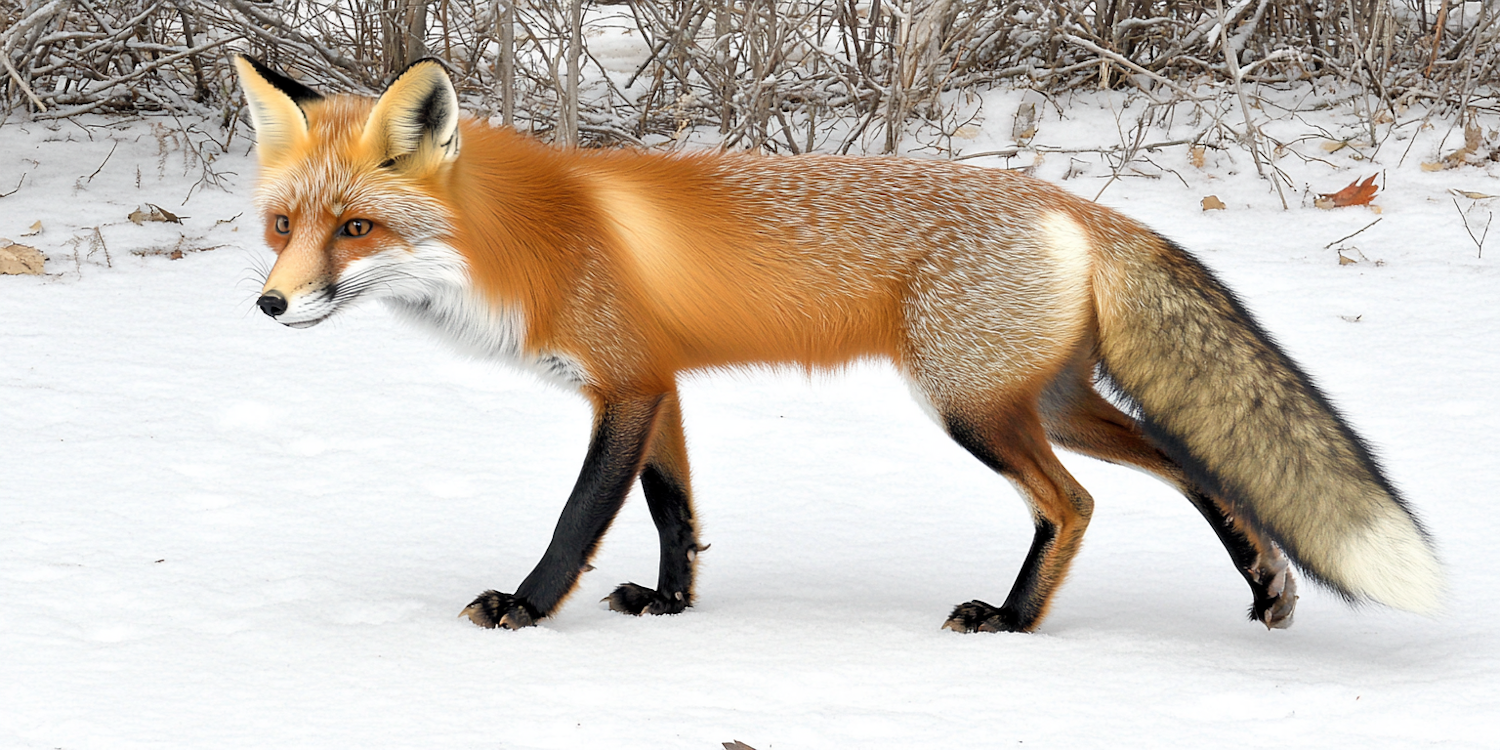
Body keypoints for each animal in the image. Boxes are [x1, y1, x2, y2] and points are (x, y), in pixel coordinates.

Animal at [234, 55, 1440, 636]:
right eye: (284, 225)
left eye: (357, 229)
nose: (271, 306)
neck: (522, 244)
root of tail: (1074, 204)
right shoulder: (659, 386)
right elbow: (676, 513)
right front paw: (672, 607)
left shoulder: (623, 385)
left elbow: (579, 519)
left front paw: (526, 609)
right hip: (1043, 400)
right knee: (1191, 459)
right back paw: (1264, 583)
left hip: (975, 410)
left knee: (1076, 503)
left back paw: (1014, 620)